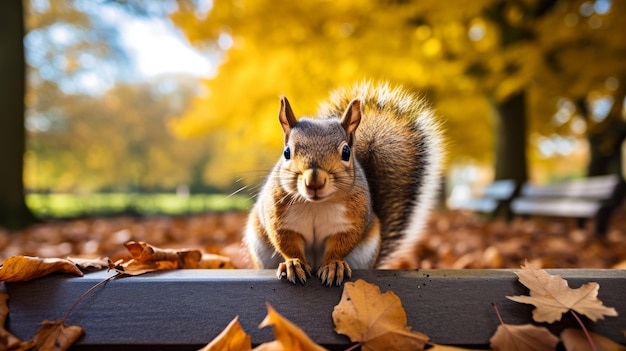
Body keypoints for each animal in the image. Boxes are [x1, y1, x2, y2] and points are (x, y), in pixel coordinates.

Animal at [241, 80, 442, 286]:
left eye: (346, 152)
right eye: (287, 152)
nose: (314, 181)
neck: (316, 205)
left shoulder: (351, 222)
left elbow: (342, 245)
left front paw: (334, 265)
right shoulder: (280, 219)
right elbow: (286, 243)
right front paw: (294, 264)